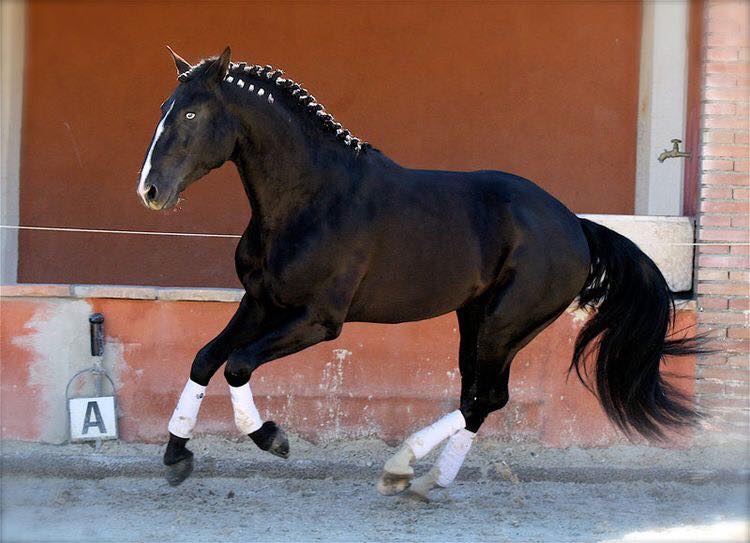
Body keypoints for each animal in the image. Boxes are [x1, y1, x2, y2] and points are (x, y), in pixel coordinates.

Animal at [140, 49, 700, 500]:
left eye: (190, 111)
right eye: (163, 107)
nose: (150, 190)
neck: (311, 199)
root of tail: (577, 226)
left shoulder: (318, 320)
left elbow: (236, 365)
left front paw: (271, 438)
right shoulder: (260, 302)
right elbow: (205, 358)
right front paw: (176, 455)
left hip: (504, 326)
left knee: (485, 397)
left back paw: (403, 465)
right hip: (476, 321)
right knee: (478, 397)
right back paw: (425, 479)